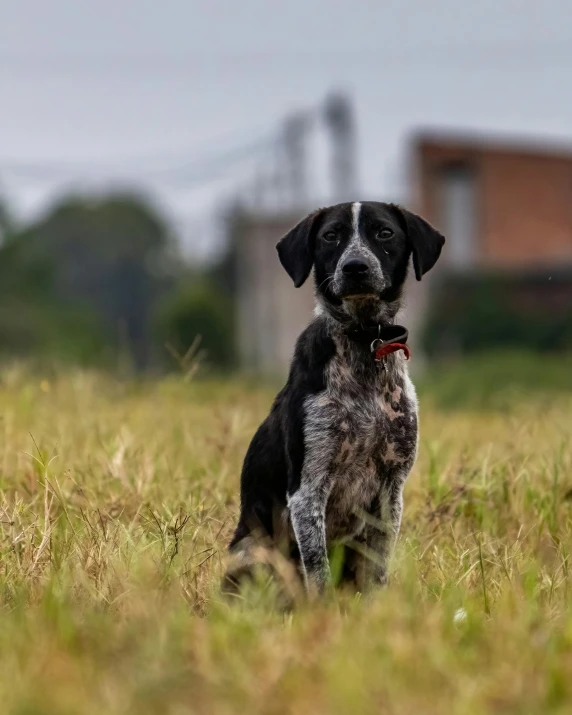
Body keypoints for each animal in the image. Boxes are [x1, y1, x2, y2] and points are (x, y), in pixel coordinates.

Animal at [226, 200, 444, 592]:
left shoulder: (391, 489)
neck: (365, 339)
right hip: (252, 547)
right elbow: (318, 573)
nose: (355, 266)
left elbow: (377, 573)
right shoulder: (308, 489)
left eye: (384, 232)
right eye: (330, 236)